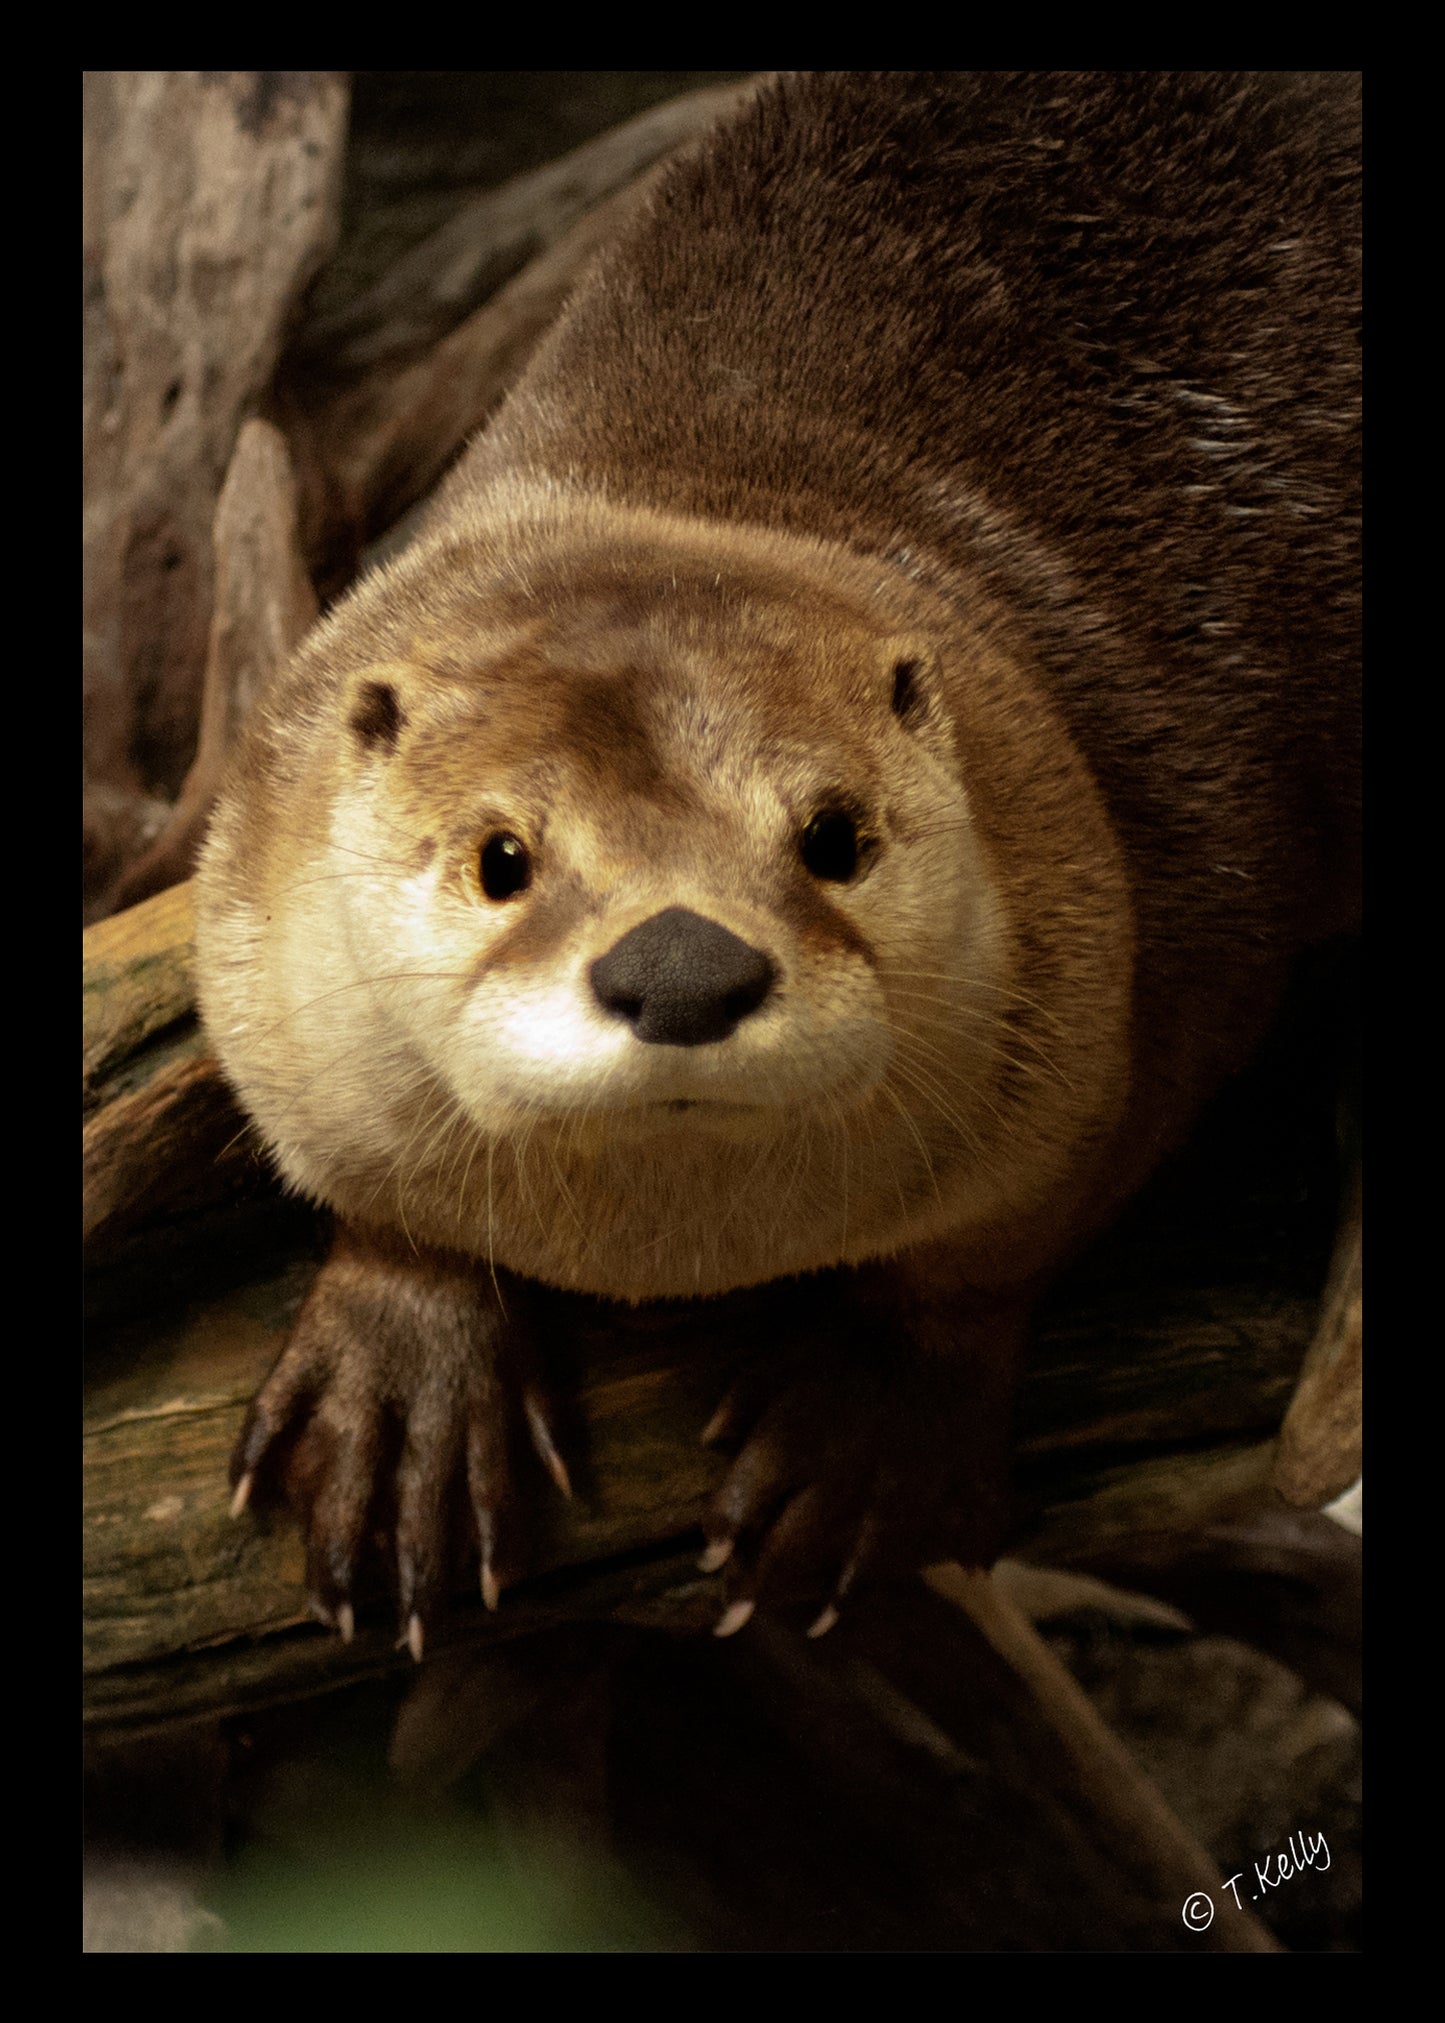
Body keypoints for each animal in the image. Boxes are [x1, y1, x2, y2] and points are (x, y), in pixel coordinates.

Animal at [195, 71, 1360, 1652]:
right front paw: (400, 1399)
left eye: (831, 835)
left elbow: (999, 1245)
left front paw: (864, 1436)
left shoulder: (1157, 961)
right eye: (502, 855)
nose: (682, 966)